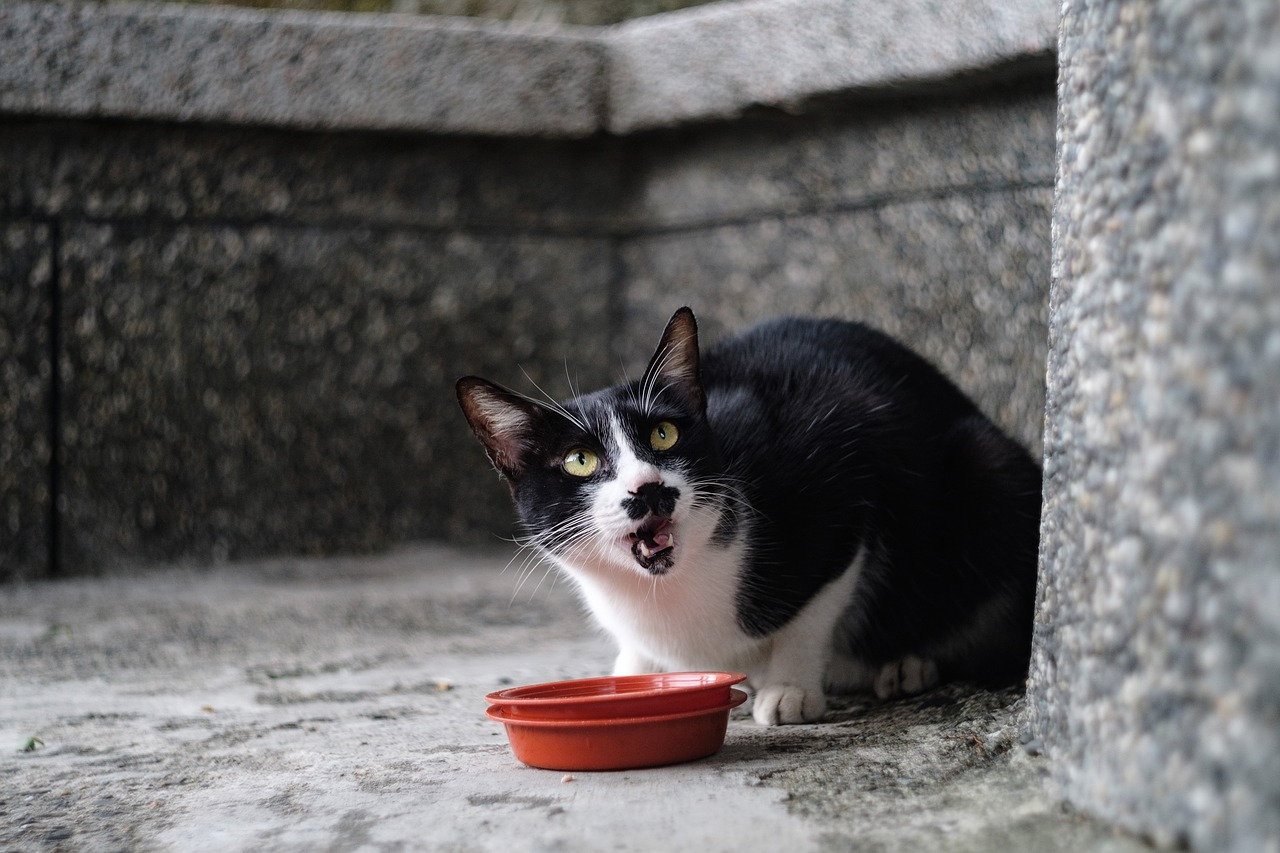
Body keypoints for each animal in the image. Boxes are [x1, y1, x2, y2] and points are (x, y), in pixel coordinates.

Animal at [455, 308, 1044, 722]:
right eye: (580, 461)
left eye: (663, 434)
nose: (649, 488)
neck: (665, 595)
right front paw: (633, 672)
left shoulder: (844, 474)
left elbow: (815, 608)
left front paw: (790, 687)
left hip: (988, 472)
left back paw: (908, 663)